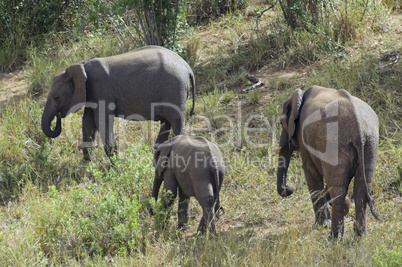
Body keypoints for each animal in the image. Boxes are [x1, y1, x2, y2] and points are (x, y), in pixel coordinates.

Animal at [41, 45, 196, 161]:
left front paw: (114, 165)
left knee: (176, 121)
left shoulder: (100, 89)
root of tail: (188, 67)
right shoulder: (90, 94)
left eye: (56, 97)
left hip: (175, 89)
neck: (81, 66)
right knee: (166, 122)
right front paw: (87, 163)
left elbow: (101, 121)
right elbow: (88, 122)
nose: (58, 116)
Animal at [276, 86, 380, 241]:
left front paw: (321, 225)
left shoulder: (304, 136)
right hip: (370, 143)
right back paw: (360, 236)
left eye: (281, 124)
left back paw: (333, 239)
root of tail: (358, 128)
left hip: (335, 144)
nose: (289, 188)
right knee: (361, 188)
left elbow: (311, 173)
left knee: (338, 191)